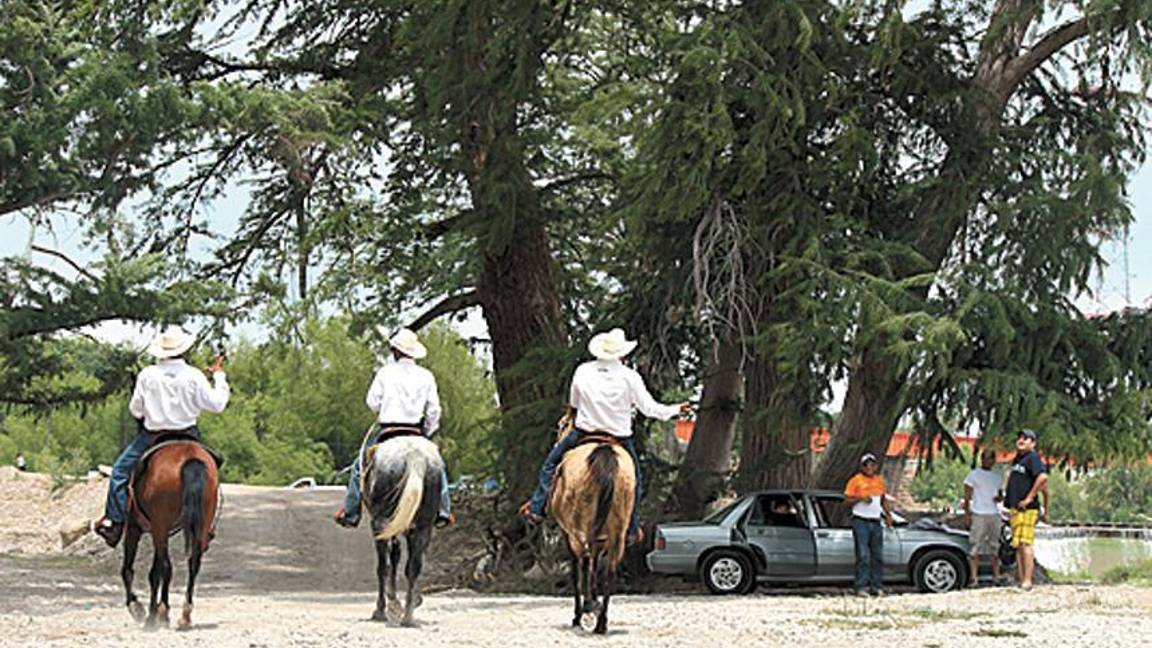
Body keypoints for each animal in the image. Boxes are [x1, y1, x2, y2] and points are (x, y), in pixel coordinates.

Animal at [120, 440, 217, 627]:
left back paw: (160, 612)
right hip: (199, 525)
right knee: (193, 563)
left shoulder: (135, 528)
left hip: (160, 527)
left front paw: (138, 608)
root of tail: (190, 458)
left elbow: (129, 569)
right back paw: (185, 615)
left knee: (166, 567)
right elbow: (154, 572)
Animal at [361, 431, 442, 622]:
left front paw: (392, 602)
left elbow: (392, 558)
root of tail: (415, 456)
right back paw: (408, 615)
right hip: (424, 525)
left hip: (380, 523)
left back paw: (381, 610)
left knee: (383, 566)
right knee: (414, 566)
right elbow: (400, 557)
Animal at [550, 438, 635, 631]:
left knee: (585, 562)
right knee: (609, 570)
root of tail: (604, 452)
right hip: (617, 533)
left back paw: (587, 609)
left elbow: (577, 571)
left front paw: (579, 613)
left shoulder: (567, 534)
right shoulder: (602, 539)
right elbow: (595, 567)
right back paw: (601, 621)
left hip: (580, 530)